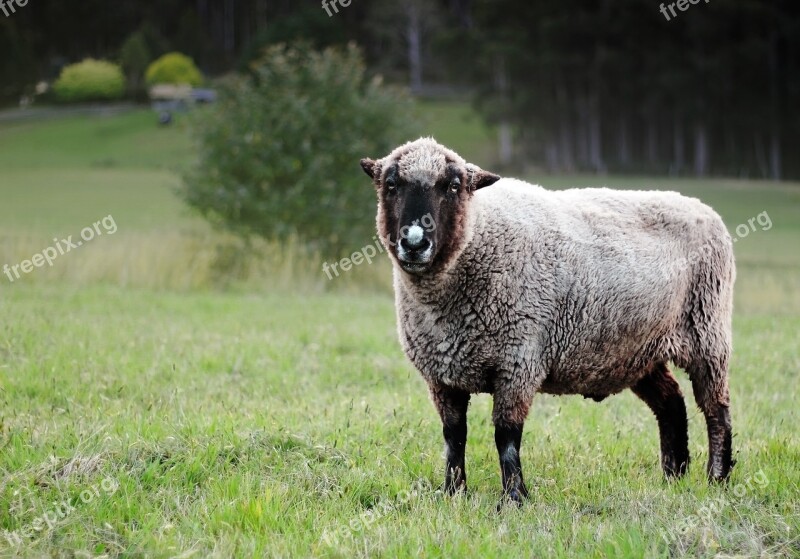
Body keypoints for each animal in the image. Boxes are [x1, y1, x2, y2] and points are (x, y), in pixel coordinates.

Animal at [360, 138, 736, 506]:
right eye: (391, 184)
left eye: (453, 186)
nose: (414, 242)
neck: (478, 236)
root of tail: (701, 207)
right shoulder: (441, 376)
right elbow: (454, 435)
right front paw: (453, 493)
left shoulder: (518, 360)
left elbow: (506, 435)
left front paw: (514, 498)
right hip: (638, 352)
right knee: (671, 403)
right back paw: (673, 476)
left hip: (707, 333)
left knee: (716, 408)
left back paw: (717, 479)